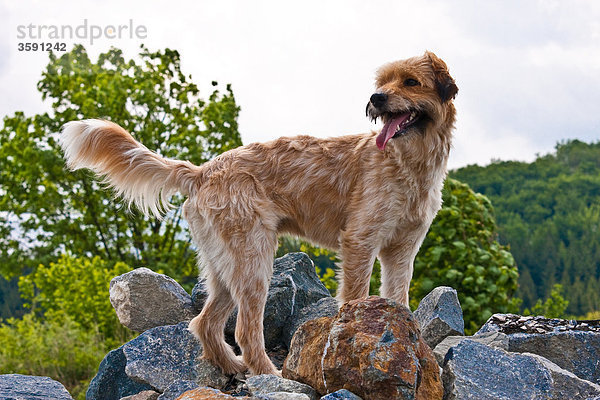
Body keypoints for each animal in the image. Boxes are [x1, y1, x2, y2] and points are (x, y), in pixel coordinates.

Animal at [58, 50, 458, 376]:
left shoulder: (401, 251)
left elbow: (397, 298)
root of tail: (202, 171)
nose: (376, 98)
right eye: (382, 83)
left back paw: (231, 366)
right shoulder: (361, 242)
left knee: (205, 323)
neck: (410, 161)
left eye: (410, 81)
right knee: (246, 331)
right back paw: (269, 373)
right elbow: (357, 297)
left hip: (225, 267)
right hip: (254, 260)